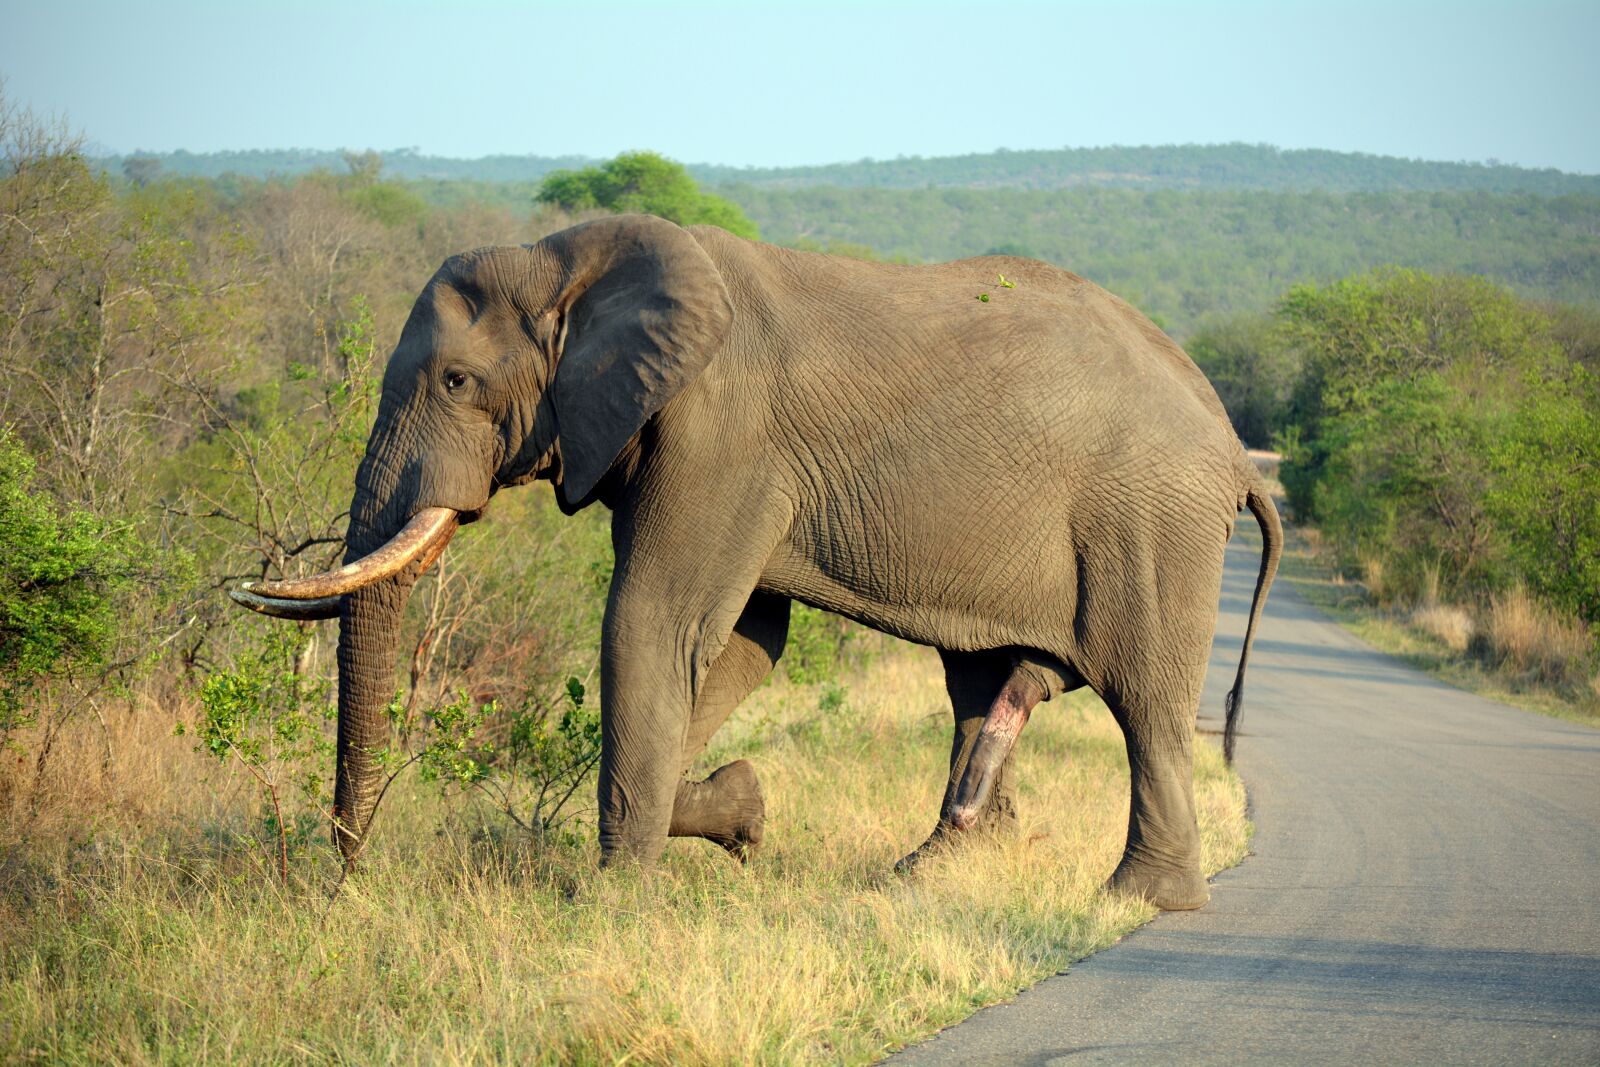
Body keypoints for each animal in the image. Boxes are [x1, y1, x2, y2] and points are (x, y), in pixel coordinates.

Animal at [232, 213, 1280, 911]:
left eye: (457, 381)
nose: (348, 877)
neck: (567, 260)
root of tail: (1234, 451)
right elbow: (741, 640)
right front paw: (742, 815)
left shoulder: (721, 430)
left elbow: (654, 621)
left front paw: (611, 902)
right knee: (984, 683)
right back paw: (933, 868)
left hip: (1152, 520)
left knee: (1144, 696)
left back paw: (1139, 899)